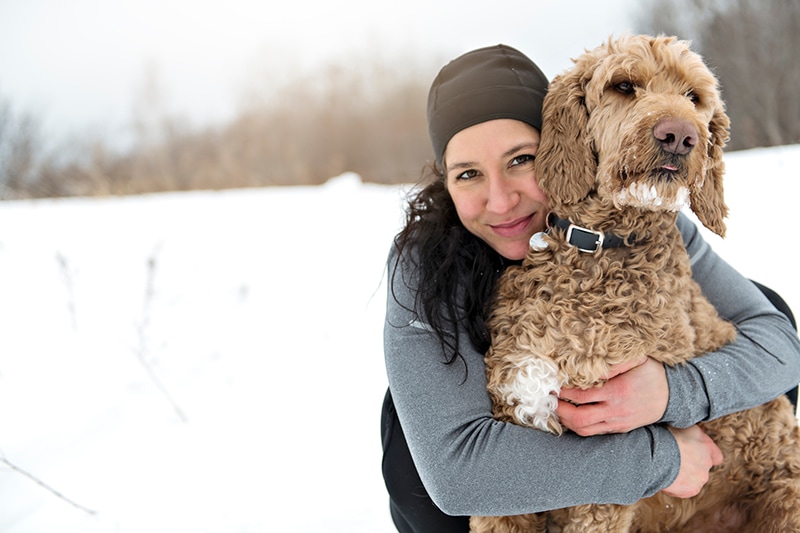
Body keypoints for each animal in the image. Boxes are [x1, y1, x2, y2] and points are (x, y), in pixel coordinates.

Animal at [468, 34, 800, 532]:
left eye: (694, 97)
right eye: (624, 86)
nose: (679, 135)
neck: (598, 249)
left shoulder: (608, 479)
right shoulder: (516, 410)